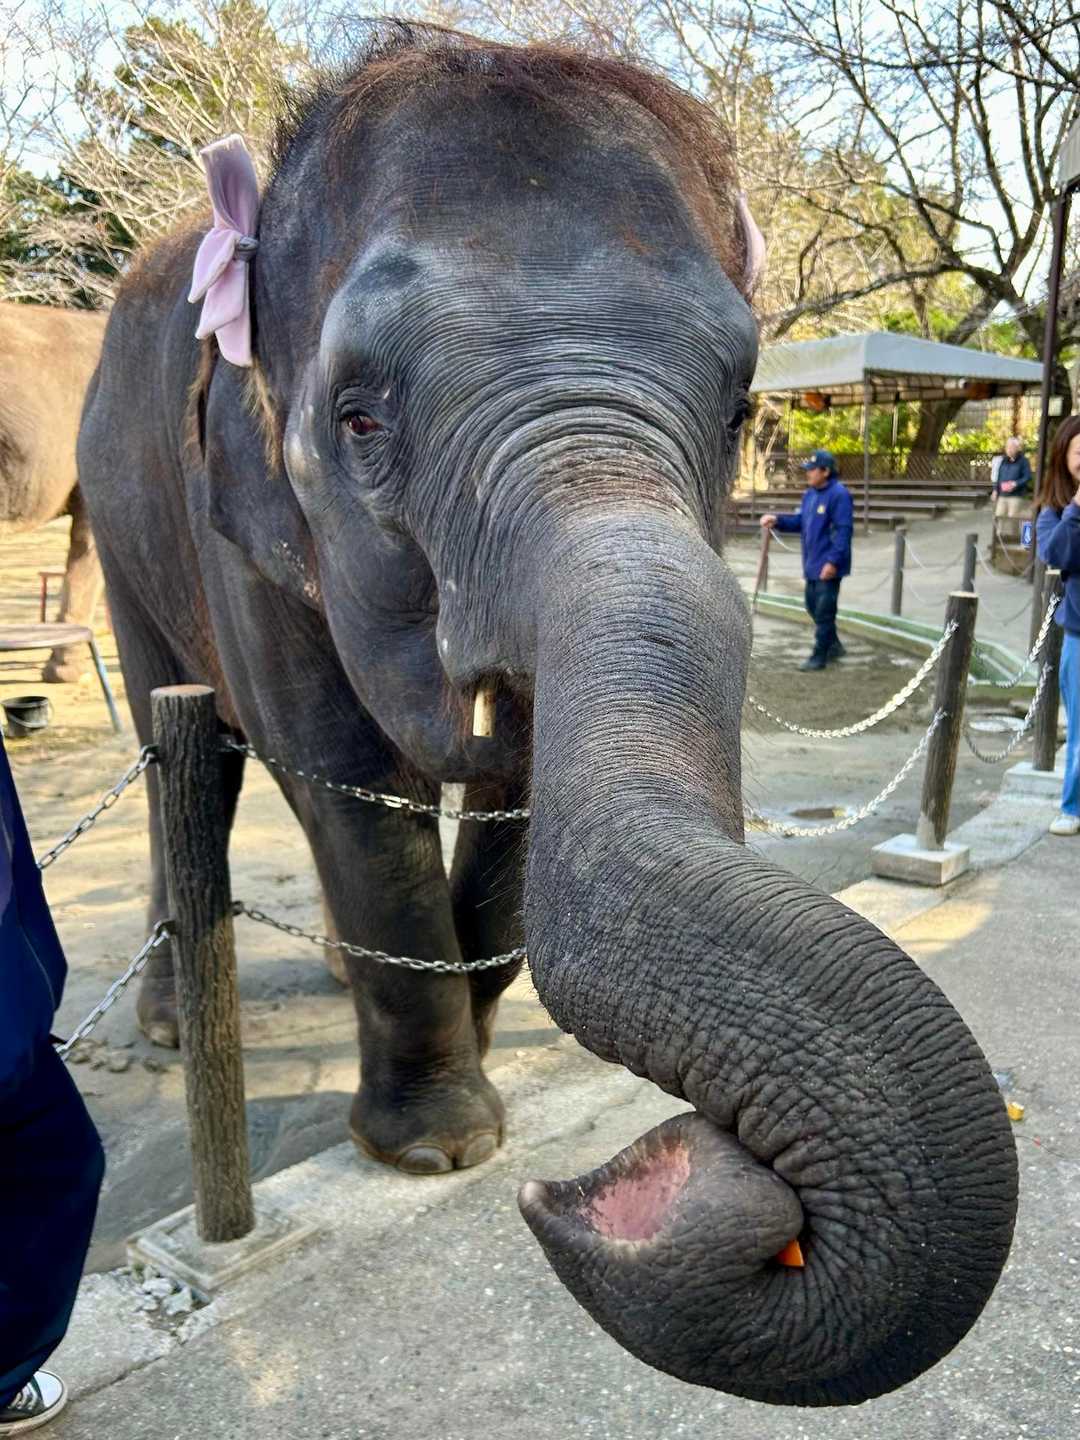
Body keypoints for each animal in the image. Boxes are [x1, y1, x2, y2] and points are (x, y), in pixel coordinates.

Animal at [77, 24, 1017, 1407]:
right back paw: (160, 1023)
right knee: (183, 740)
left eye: (739, 411)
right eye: (359, 419)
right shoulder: (233, 524)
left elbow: (519, 792)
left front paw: (470, 1054)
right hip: (120, 510)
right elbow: (345, 776)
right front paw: (439, 1150)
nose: (685, 1180)